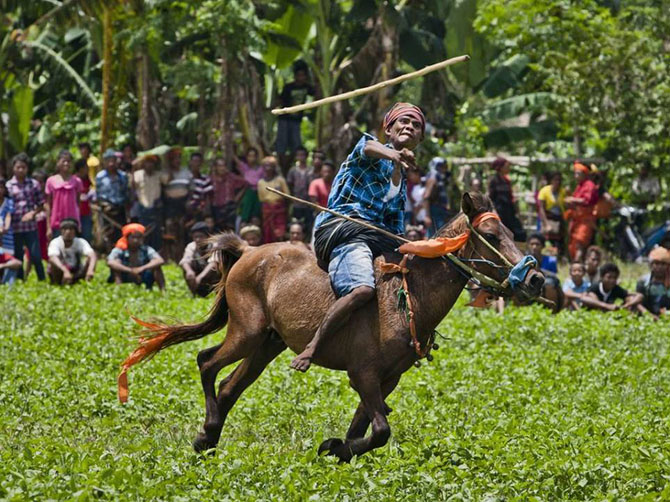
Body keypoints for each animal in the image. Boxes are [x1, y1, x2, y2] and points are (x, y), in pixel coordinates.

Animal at [123, 193, 544, 462]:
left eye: (511, 232)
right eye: (491, 236)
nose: (536, 279)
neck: (409, 297)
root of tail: (247, 252)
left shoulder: (387, 379)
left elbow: (366, 430)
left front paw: (336, 449)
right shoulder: (363, 373)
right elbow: (380, 431)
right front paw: (333, 448)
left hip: (268, 343)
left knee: (228, 386)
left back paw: (207, 440)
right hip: (247, 332)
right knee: (207, 362)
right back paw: (208, 431)